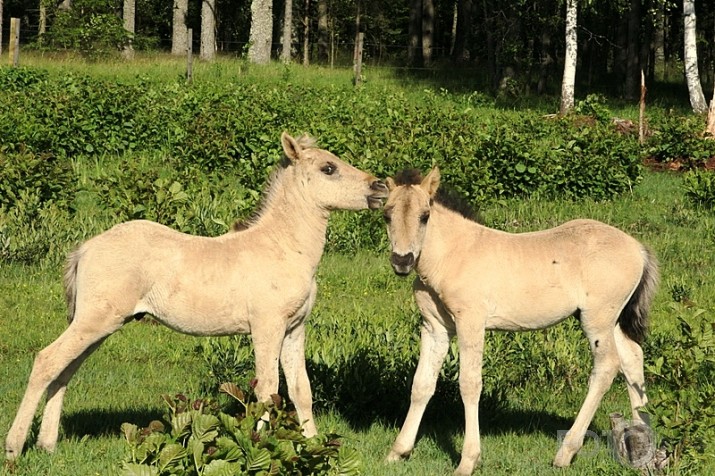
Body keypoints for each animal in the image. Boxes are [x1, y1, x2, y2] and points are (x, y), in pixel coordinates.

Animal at [5, 132, 388, 460]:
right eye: (328, 168)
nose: (380, 187)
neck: (281, 246)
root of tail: (85, 248)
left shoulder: (295, 329)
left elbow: (300, 390)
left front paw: (314, 448)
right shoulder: (267, 327)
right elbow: (268, 389)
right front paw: (258, 445)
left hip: (100, 325)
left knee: (65, 370)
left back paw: (47, 445)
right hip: (95, 321)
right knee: (47, 361)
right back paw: (14, 447)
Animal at [386, 167, 660, 472]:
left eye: (425, 216)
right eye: (387, 215)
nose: (402, 261)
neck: (452, 255)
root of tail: (638, 248)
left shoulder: (471, 322)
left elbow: (469, 384)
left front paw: (468, 461)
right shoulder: (434, 328)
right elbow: (421, 384)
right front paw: (398, 451)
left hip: (597, 318)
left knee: (607, 367)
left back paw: (566, 452)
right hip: (613, 320)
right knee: (633, 357)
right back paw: (642, 443)